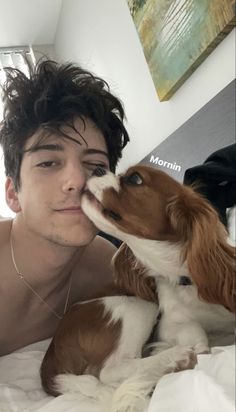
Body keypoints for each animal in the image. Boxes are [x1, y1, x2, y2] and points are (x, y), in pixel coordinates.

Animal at [39, 165, 235, 412]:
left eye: (135, 178)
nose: (97, 167)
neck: (186, 279)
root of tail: (51, 357)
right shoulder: (168, 322)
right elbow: (198, 336)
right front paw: (186, 351)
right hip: (138, 305)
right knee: (108, 371)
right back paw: (175, 357)